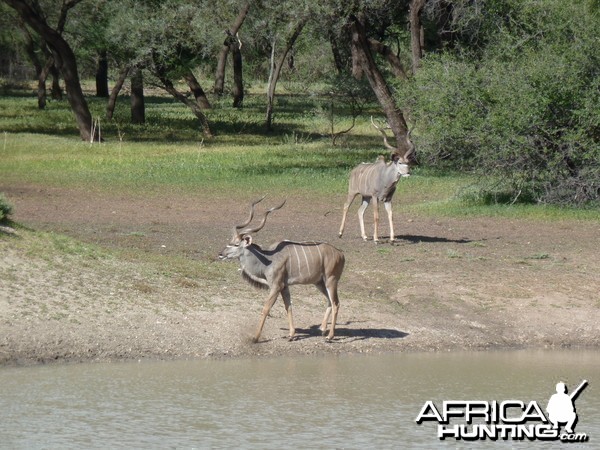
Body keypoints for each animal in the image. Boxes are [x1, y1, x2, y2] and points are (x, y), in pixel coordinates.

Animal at [218, 197, 344, 342]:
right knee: (329, 301)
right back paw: (322, 329)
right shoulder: (285, 287)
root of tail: (340, 253)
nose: (220, 254)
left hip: (331, 280)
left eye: (236, 244)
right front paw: (291, 335)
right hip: (319, 282)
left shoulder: (276, 286)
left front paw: (255, 337)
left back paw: (330, 336)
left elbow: (266, 308)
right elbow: (288, 307)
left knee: (336, 303)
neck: (268, 259)